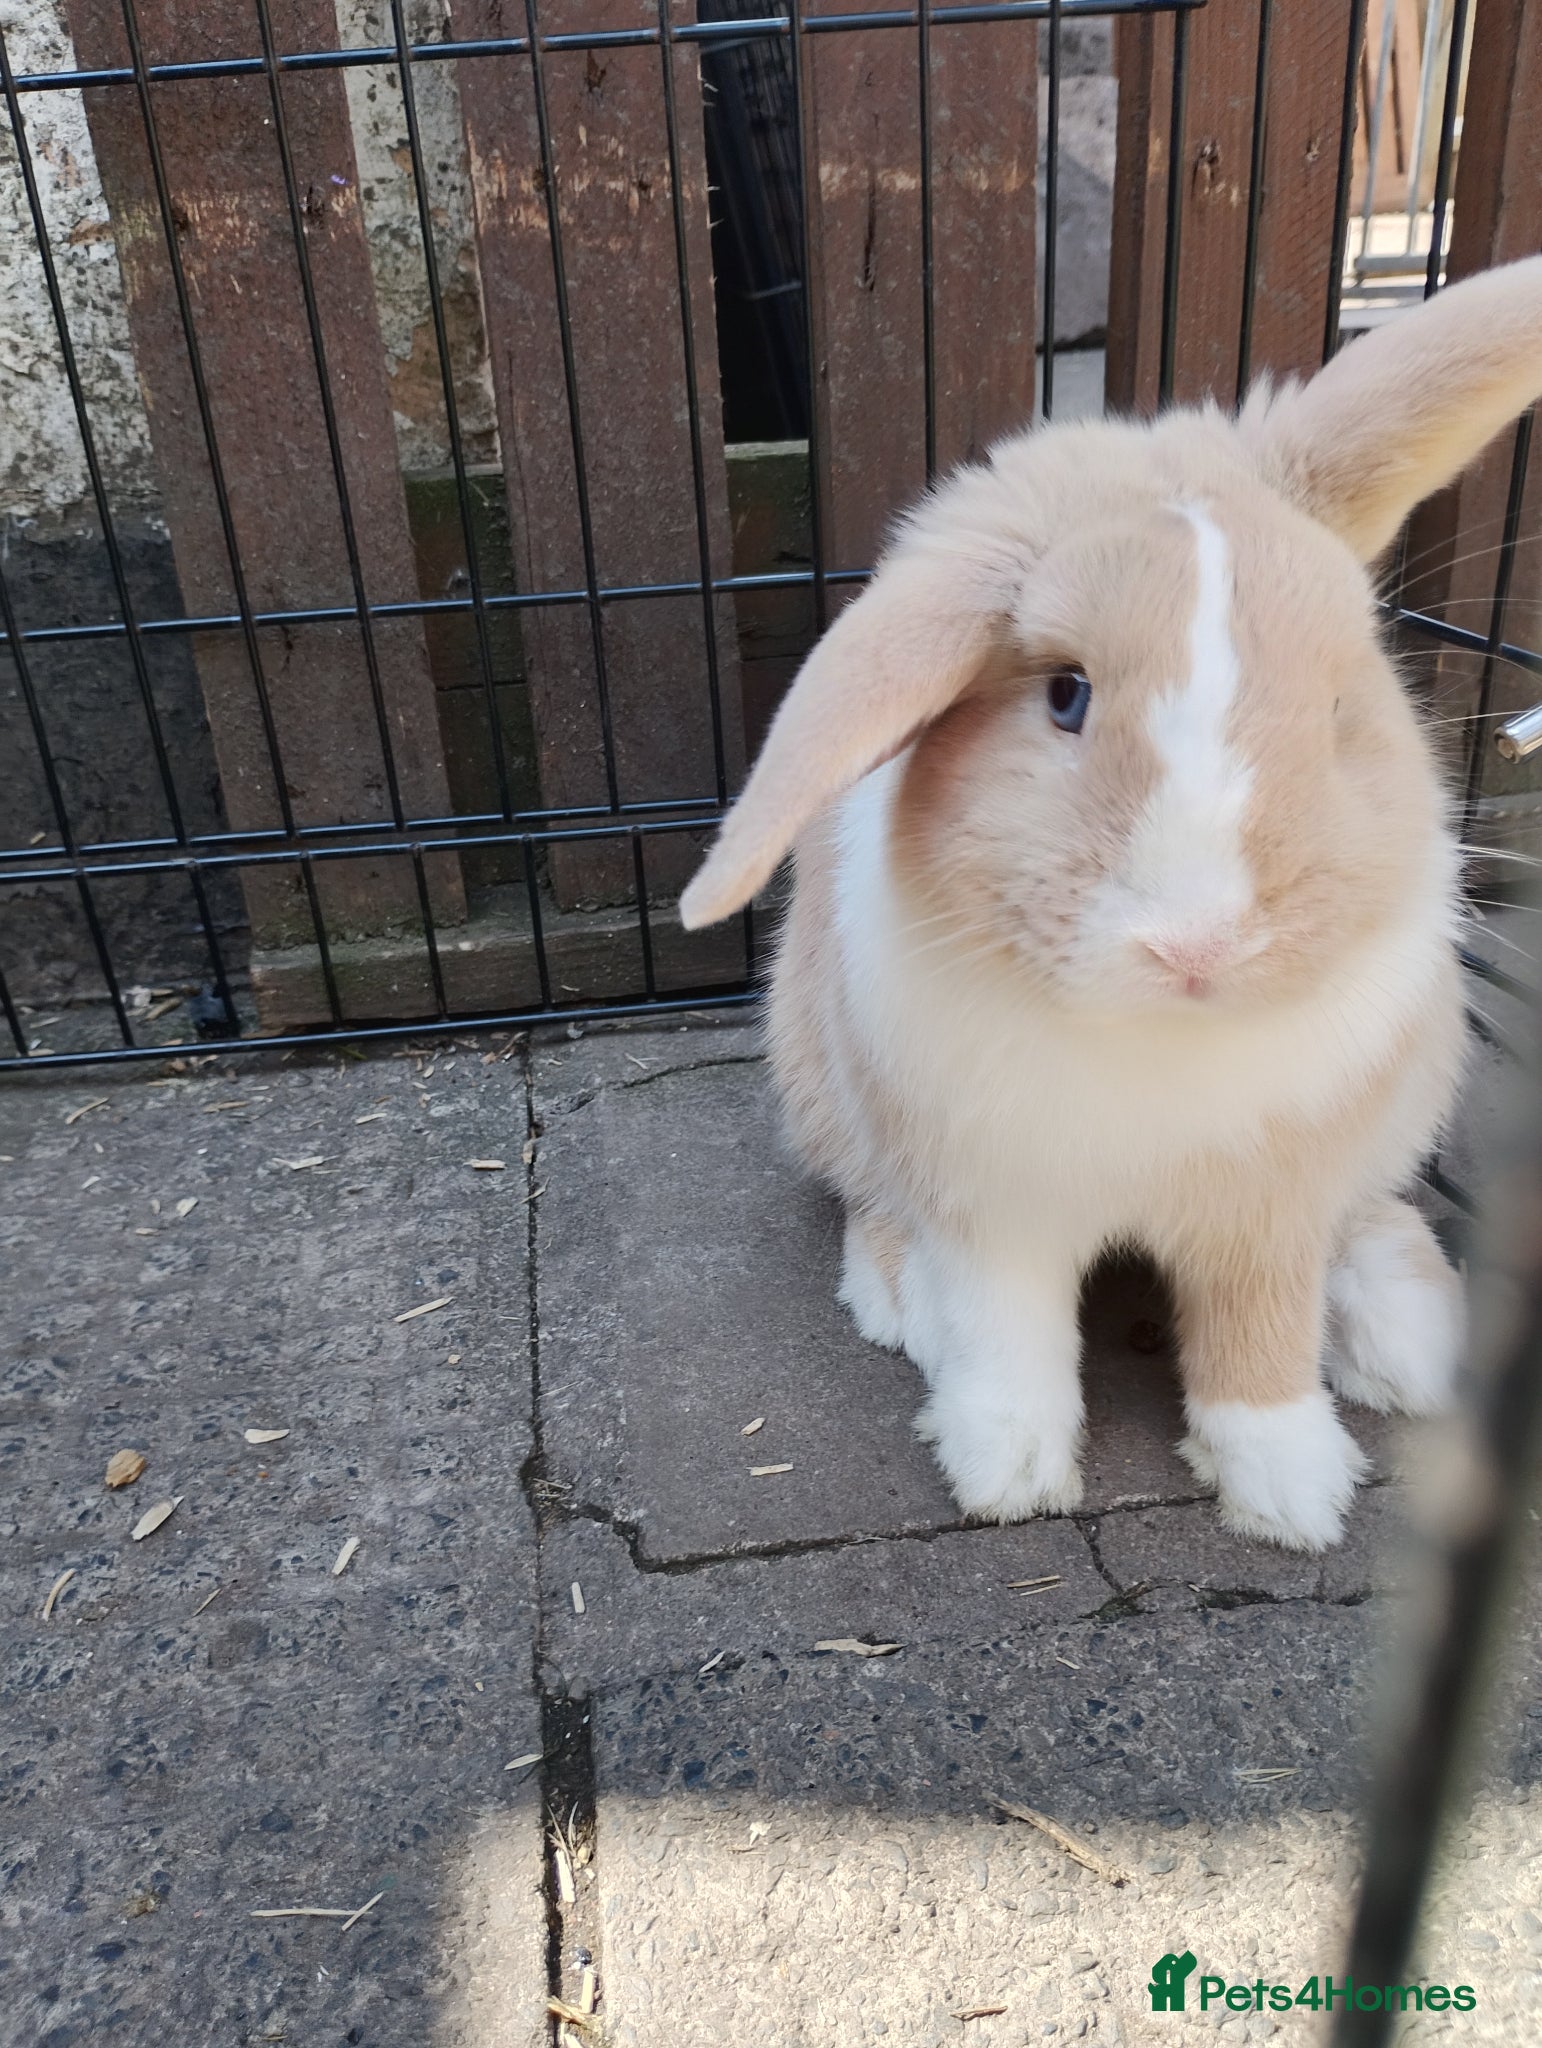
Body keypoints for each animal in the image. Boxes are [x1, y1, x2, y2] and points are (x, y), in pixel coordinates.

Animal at [680, 257, 1542, 1551]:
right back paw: (897, 1299)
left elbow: (1260, 1339)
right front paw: (1007, 1471)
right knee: (870, 1204)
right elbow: (1008, 1340)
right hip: (827, 1088)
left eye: (1343, 706)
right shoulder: (993, 1205)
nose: (1200, 940)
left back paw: (1407, 1334)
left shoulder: (1271, 1209)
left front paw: (1289, 1491)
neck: (1158, 1036)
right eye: (1066, 695)